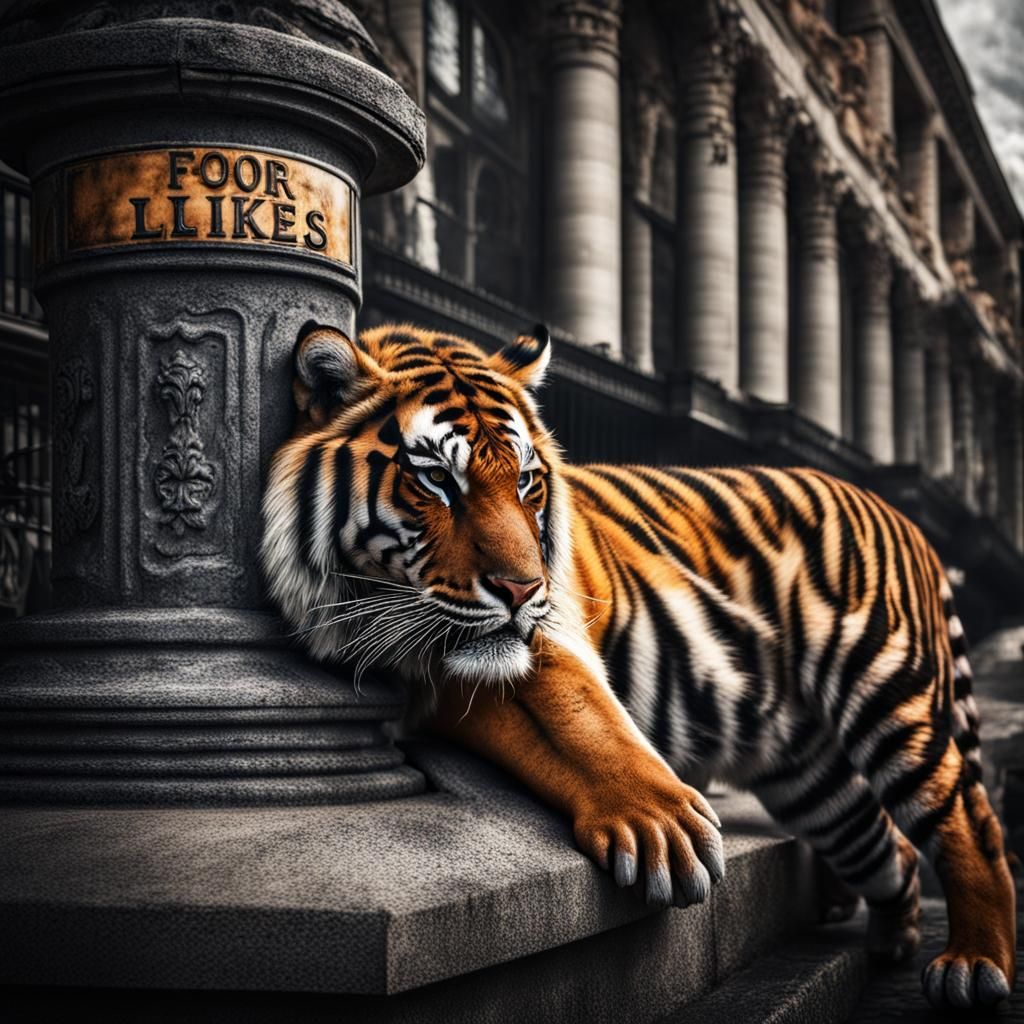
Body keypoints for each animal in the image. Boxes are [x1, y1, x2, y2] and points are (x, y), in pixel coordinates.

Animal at [261, 321, 1016, 1010]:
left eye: (528, 483)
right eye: (437, 480)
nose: (520, 590)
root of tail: (902, 516)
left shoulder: (540, 635)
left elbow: (583, 710)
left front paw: (666, 828)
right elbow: (559, 724)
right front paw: (660, 827)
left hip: (889, 693)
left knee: (970, 821)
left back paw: (973, 967)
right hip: (811, 777)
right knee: (886, 846)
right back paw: (892, 939)